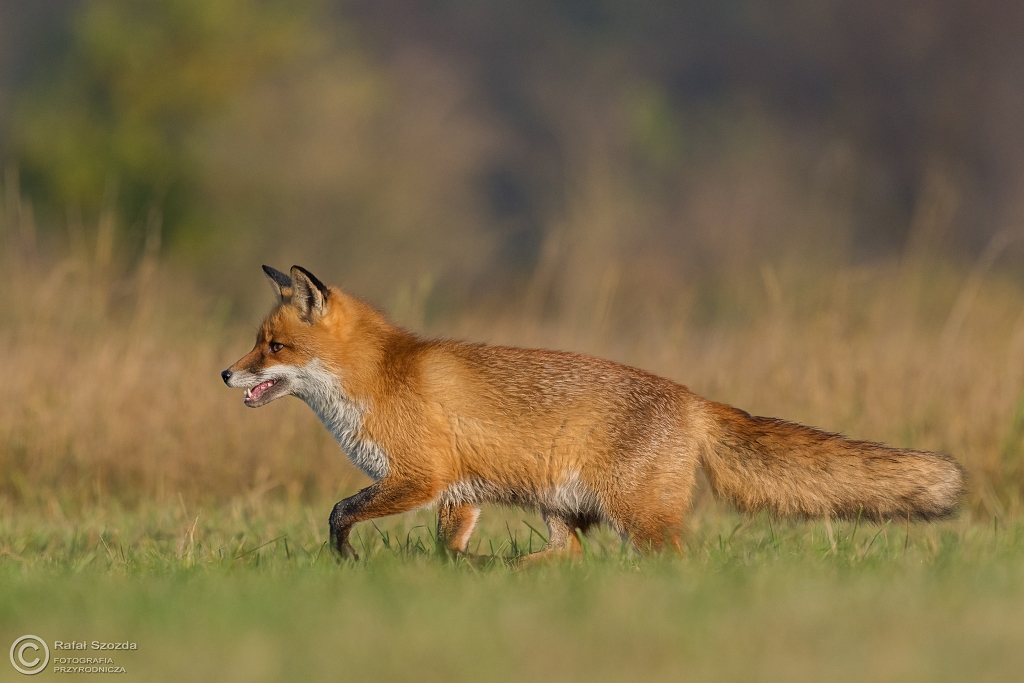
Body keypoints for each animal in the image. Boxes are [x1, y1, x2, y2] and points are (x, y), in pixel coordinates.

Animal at [222, 265, 966, 561]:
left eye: (273, 347)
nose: (226, 373)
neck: (376, 380)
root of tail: (693, 399)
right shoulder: (459, 492)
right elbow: (446, 548)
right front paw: (450, 574)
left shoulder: (420, 476)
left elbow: (338, 511)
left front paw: (346, 556)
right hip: (562, 504)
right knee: (571, 557)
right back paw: (506, 574)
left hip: (639, 517)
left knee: (680, 566)